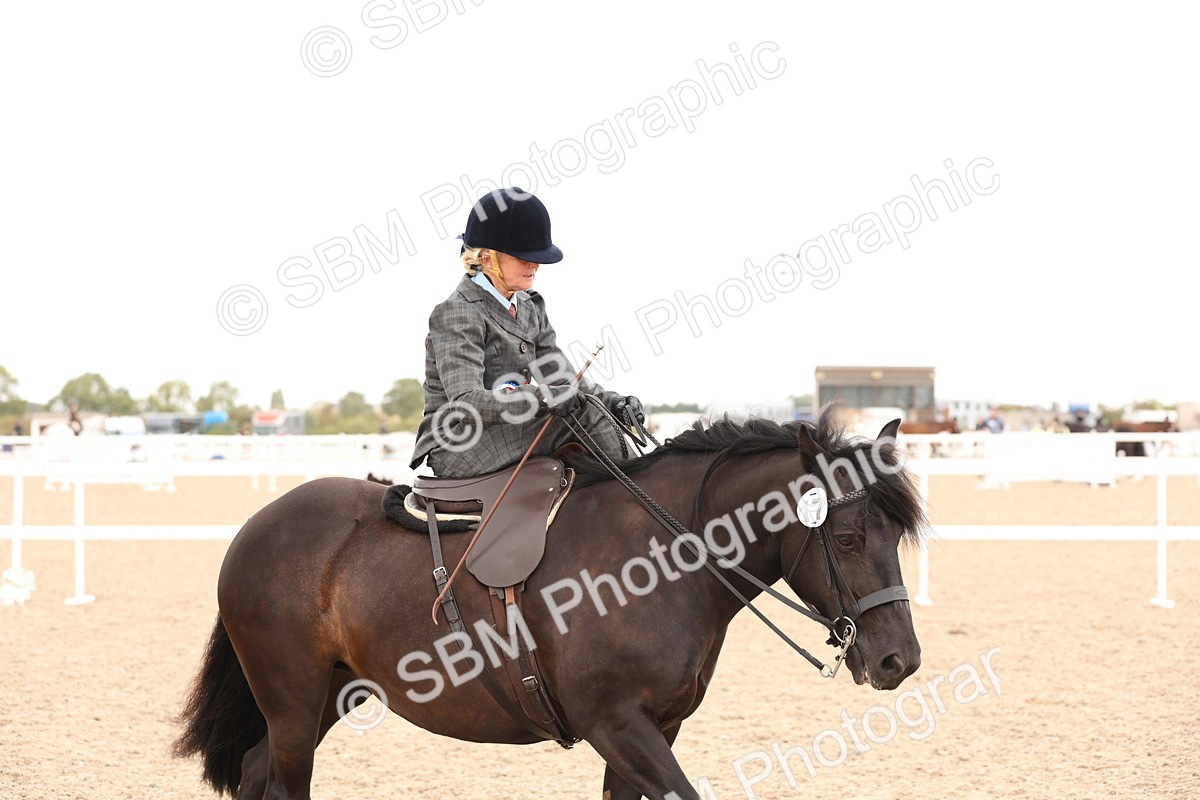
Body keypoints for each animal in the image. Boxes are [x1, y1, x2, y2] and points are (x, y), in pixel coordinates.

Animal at [173, 410, 927, 800]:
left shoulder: (654, 730)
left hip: (328, 697)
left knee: (255, 771)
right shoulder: (616, 725)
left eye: (897, 536)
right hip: (294, 706)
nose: (901, 659)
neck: (659, 560)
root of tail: (258, 526)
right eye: (848, 537)